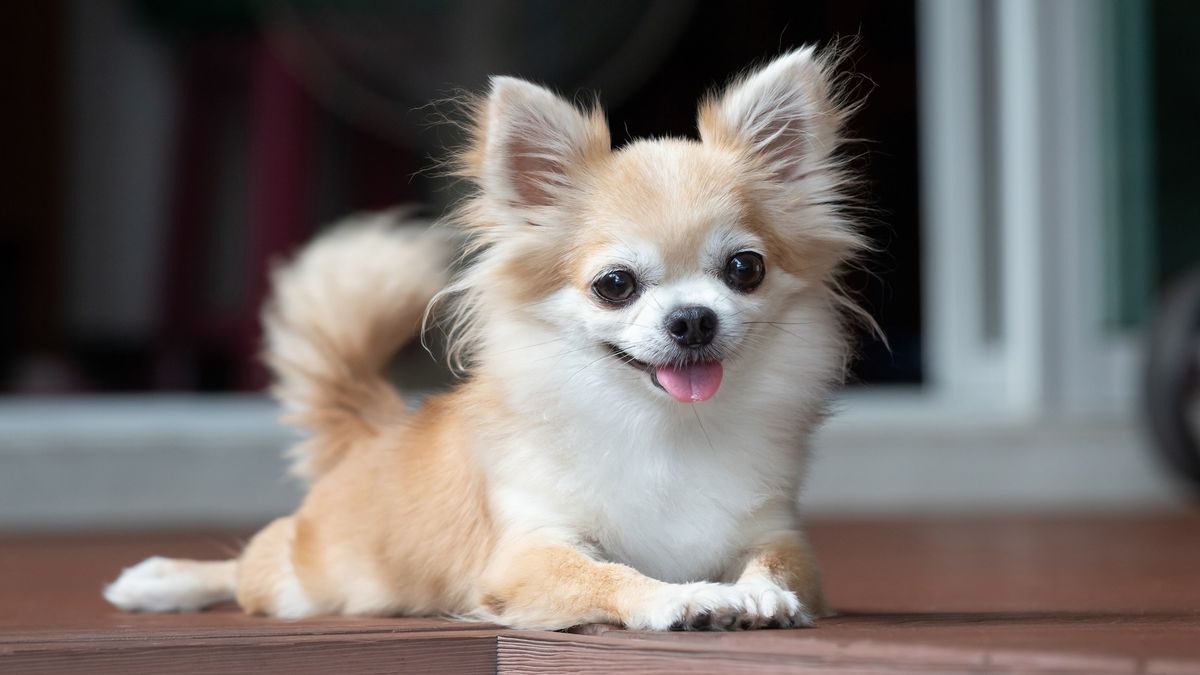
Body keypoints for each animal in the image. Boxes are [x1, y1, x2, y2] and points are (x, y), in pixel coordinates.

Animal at [103, 47, 868, 629]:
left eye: (745, 269)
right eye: (615, 284)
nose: (692, 319)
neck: (664, 426)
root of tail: (377, 427)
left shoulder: (777, 532)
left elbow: (774, 564)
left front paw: (759, 593)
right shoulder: (530, 551)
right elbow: (613, 574)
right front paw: (689, 597)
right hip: (304, 582)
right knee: (246, 566)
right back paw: (161, 579)